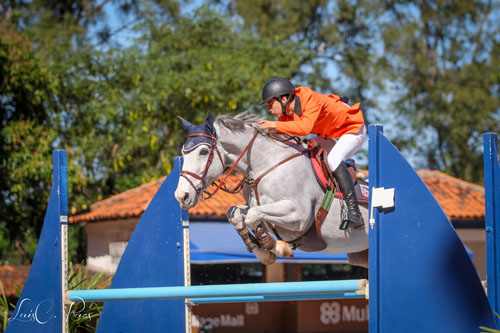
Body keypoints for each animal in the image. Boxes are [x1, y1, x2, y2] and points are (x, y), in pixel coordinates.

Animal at [174, 111, 370, 268]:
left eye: (203, 152)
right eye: (183, 152)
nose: (181, 196)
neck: (265, 164)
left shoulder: (299, 216)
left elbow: (252, 215)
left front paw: (276, 247)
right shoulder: (258, 206)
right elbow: (235, 213)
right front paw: (263, 252)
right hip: (361, 256)